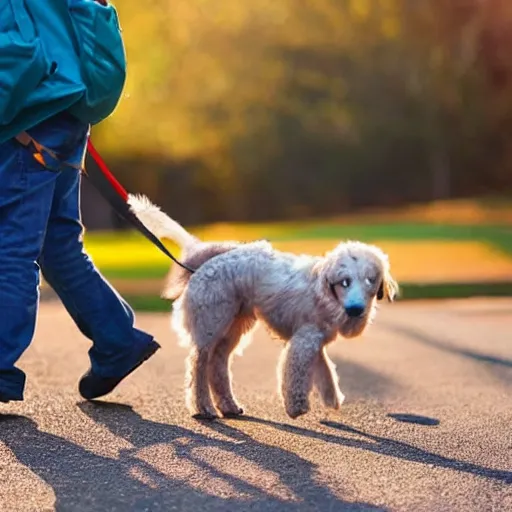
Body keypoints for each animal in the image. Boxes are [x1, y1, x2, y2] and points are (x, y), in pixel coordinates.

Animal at [129, 196, 400, 420]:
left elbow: (326, 372)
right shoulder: (303, 342)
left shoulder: (314, 340)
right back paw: (203, 408)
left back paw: (228, 405)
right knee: (198, 365)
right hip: (210, 325)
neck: (324, 291)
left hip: (233, 327)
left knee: (218, 364)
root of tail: (207, 259)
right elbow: (296, 377)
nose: (355, 309)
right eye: (344, 282)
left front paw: (332, 399)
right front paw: (296, 408)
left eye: (370, 280)